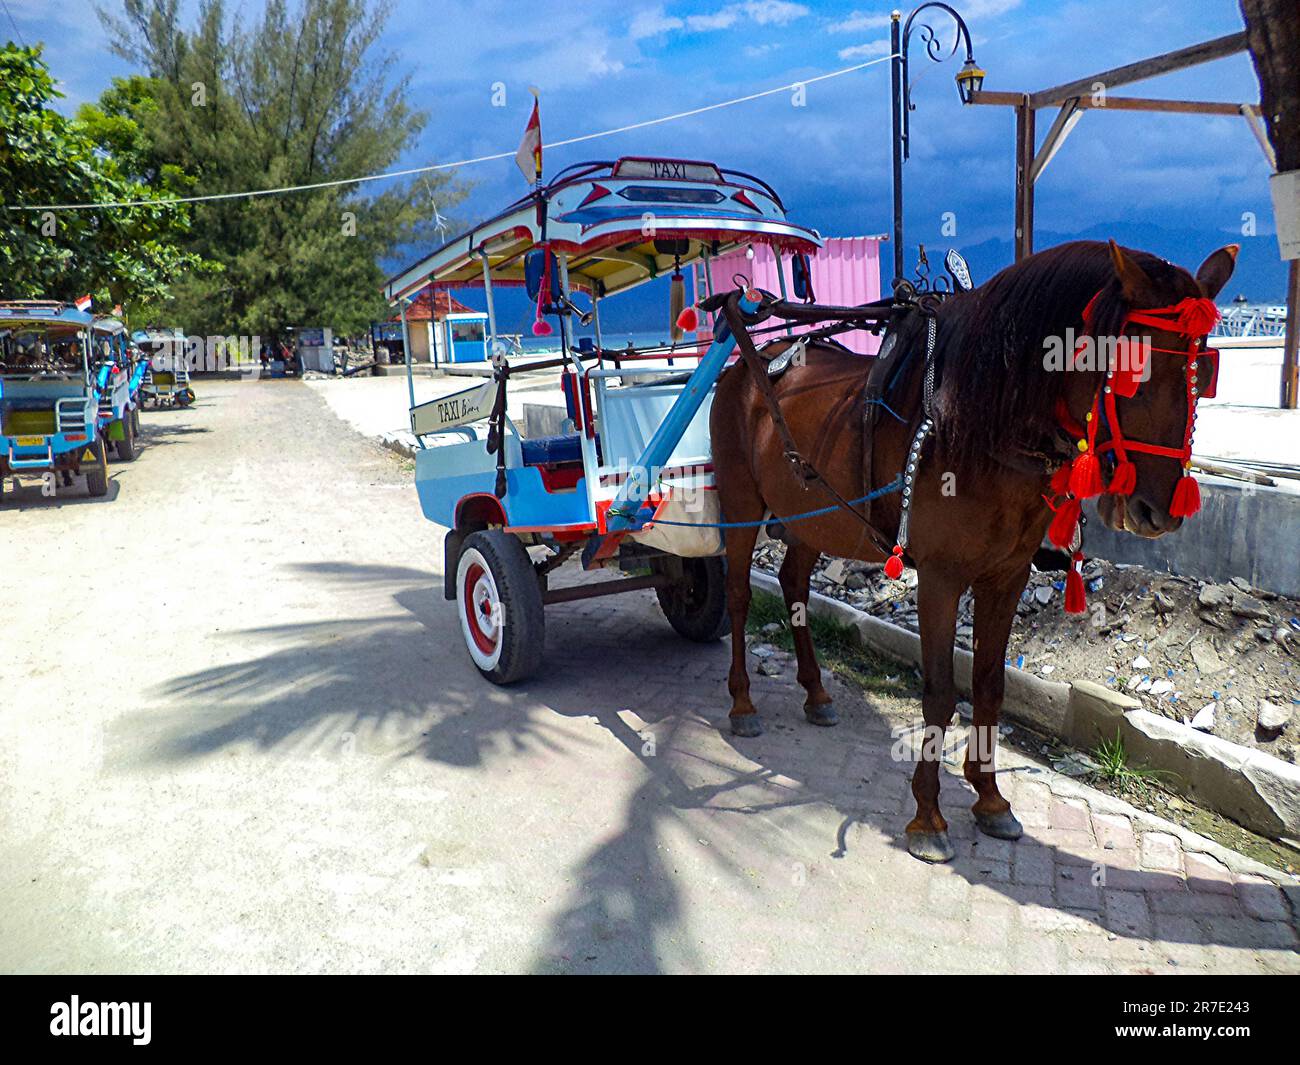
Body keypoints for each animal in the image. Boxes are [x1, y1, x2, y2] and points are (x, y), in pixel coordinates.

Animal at [710, 239, 1237, 863]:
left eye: (1204, 372)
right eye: (1133, 370)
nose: (1160, 509)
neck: (980, 425)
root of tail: (750, 364)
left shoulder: (1006, 577)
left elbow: (988, 684)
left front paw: (989, 798)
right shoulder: (940, 578)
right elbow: (941, 691)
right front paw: (928, 816)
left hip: (811, 518)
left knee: (793, 586)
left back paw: (816, 693)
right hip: (740, 500)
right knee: (738, 595)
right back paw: (742, 703)